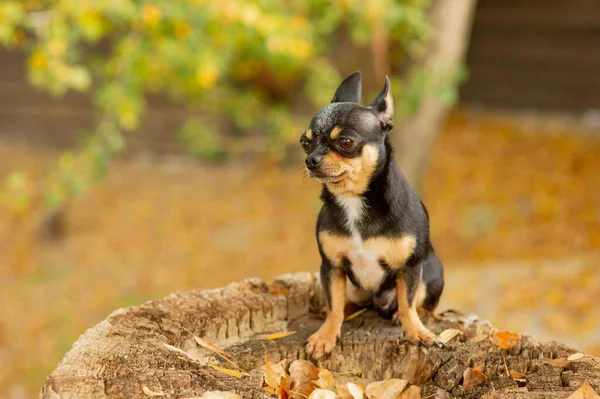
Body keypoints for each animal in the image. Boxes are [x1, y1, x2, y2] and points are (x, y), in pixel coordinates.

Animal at [300, 71, 446, 360]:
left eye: (345, 142)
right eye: (305, 143)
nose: (311, 160)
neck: (353, 200)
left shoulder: (410, 268)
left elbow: (408, 302)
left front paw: (417, 332)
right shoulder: (331, 267)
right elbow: (334, 304)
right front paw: (325, 336)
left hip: (431, 273)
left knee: (420, 304)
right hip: (353, 286)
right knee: (347, 302)